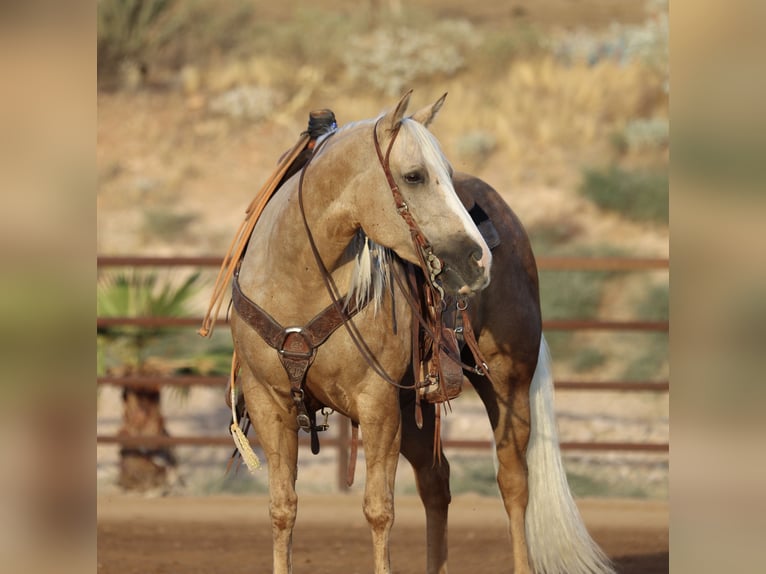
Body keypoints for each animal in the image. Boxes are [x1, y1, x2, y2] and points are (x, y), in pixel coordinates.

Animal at [228, 92, 614, 574]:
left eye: (444, 172)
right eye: (413, 176)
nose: (477, 259)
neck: (297, 282)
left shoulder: (376, 403)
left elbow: (379, 509)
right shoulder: (268, 402)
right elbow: (283, 508)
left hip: (508, 381)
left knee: (513, 481)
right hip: (416, 404)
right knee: (436, 481)